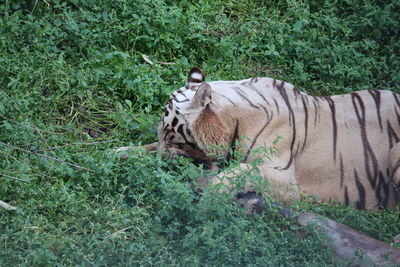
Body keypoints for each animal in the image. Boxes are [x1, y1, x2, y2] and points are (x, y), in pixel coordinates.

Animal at [121, 67, 400, 211]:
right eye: (162, 133)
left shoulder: (285, 178)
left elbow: (241, 171)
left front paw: (207, 197)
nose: (159, 163)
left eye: (172, 135)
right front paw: (120, 153)